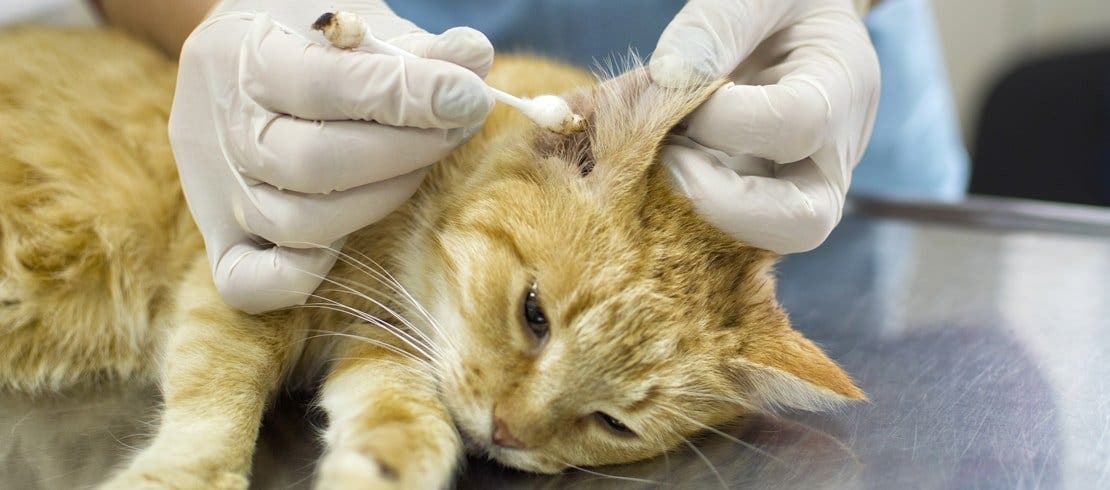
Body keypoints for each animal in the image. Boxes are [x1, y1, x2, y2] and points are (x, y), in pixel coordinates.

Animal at [0, 27, 865, 488]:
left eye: (613, 424)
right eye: (534, 315)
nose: (507, 433)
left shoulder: (391, 345)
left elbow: (399, 412)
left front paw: (380, 466)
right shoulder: (243, 284)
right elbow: (216, 392)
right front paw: (181, 473)